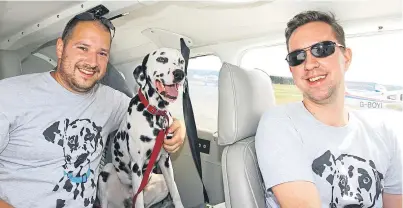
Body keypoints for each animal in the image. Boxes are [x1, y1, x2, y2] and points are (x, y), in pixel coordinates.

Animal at [98, 47, 186, 208]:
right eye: (161, 59)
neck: (156, 114)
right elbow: (138, 202)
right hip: (106, 173)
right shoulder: (136, 166)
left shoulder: (165, 161)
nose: (179, 74)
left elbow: (175, 191)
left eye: (181, 61)